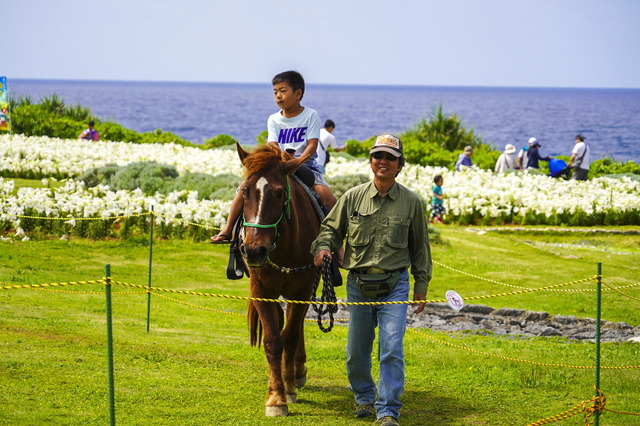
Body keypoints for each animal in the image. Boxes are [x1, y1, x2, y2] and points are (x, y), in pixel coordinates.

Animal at [236, 143, 322, 416]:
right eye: (244, 192)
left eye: (278, 193)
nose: (253, 251)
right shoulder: (262, 290)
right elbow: (274, 340)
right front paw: (275, 397)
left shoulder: (302, 290)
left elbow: (291, 337)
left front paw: (288, 389)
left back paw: (296, 373)